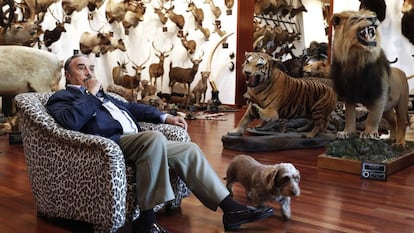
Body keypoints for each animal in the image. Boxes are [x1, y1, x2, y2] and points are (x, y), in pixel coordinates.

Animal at [330, 10, 410, 147]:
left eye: (371, 15)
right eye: (355, 18)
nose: (373, 18)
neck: (356, 60)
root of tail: (402, 72)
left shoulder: (379, 96)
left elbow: (373, 117)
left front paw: (369, 134)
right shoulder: (348, 95)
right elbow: (350, 115)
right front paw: (347, 132)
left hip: (402, 103)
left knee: (402, 122)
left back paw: (399, 143)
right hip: (387, 109)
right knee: (393, 121)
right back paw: (391, 139)